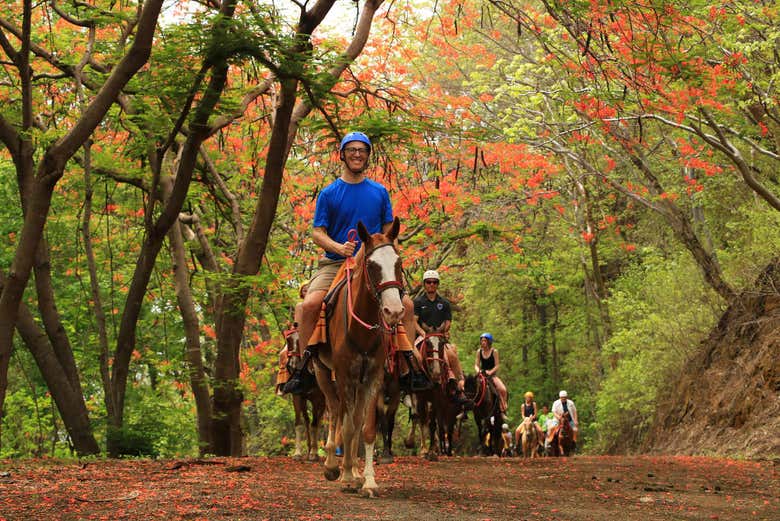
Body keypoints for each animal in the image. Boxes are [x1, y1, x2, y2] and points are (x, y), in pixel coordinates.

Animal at [284, 328, 326, 461]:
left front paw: (313, 453)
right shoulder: (297, 397)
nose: (292, 364)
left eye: (301, 340)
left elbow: (314, 424)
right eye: (288, 339)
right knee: (310, 420)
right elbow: (299, 423)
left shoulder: (318, 399)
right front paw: (298, 453)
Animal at [312, 218, 406, 497]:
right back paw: (333, 466)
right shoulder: (345, 376)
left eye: (398, 263)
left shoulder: (374, 377)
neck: (363, 329)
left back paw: (352, 469)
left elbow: (365, 428)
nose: (393, 311)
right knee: (335, 412)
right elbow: (347, 426)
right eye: (373, 265)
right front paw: (344, 476)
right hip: (323, 372)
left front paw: (367, 480)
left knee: (352, 418)